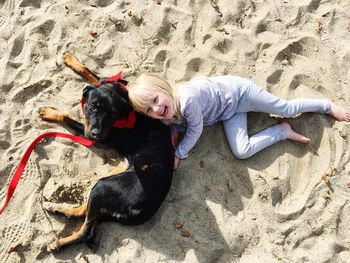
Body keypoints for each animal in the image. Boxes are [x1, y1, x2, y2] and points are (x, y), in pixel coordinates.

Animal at [39, 52, 174, 253]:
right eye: (93, 106)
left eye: (113, 112)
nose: (97, 134)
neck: (124, 96)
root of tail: (146, 209)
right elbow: (91, 73)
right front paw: (71, 59)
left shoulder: (91, 132)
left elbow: (67, 117)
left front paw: (50, 112)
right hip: (106, 182)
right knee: (84, 212)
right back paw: (55, 208)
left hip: (103, 186)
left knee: (86, 231)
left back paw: (58, 242)